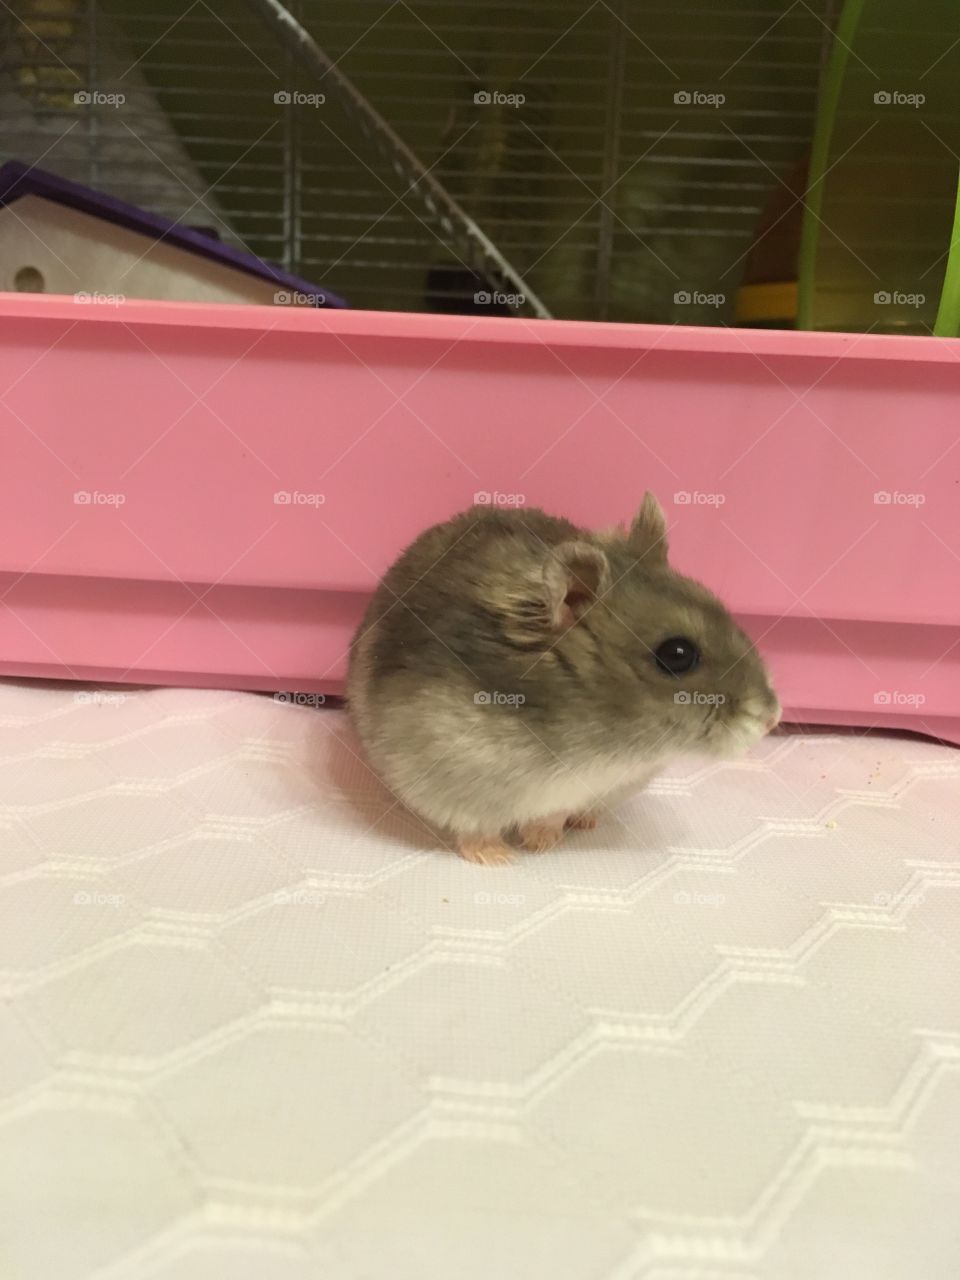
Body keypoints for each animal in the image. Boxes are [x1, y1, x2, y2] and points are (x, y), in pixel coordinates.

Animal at [347, 493, 781, 865]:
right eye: (677, 655)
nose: (771, 719)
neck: (608, 745)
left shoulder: (585, 789)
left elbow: (551, 816)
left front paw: (542, 843)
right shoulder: (454, 783)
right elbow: (476, 830)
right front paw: (501, 858)